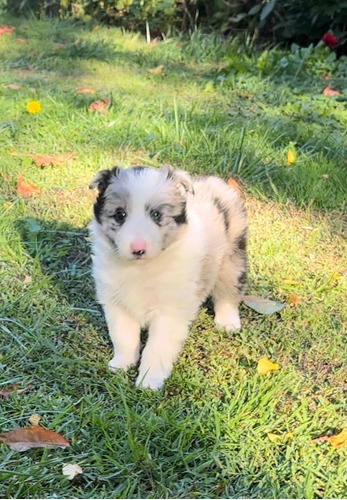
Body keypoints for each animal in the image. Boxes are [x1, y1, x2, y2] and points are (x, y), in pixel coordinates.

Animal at [89, 166, 247, 388]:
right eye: (120, 214)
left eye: (157, 215)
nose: (138, 249)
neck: (141, 268)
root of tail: (215, 181)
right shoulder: (116, 303)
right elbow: (123, 337)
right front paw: (121, 365)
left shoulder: (170, 311)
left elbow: (157, 348)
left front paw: (149, 381)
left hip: (232, 257)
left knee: (229, 291)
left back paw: (227, 322)